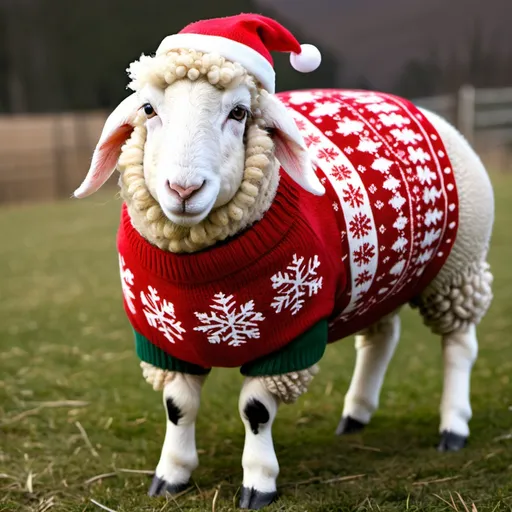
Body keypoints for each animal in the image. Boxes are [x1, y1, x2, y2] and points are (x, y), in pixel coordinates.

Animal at [72, 14, 492, 510]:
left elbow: (255, 410)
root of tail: (423, 109)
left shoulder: (291, 337)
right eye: (149, 110)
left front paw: (258, 481)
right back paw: (356, 416)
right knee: (381, 339)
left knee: (459, 346)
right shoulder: (163, 340)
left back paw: (453, 426)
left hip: (457, 271)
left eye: (239, 113)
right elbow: (178, 408)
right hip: (379, 281)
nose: (184, 189)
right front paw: (171, 475)